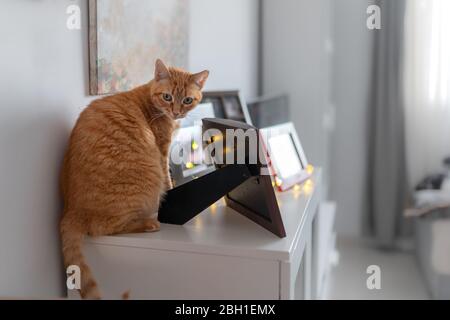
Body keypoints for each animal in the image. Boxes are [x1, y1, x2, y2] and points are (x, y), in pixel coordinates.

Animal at [59, 58, 210, 298]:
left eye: (187, 100)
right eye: (167, 97)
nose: (176, 112)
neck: (151, 101)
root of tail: (70, 210)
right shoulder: (162, 151)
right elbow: (167, 179)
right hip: (145, 181)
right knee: (102, 228)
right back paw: (149, 222)